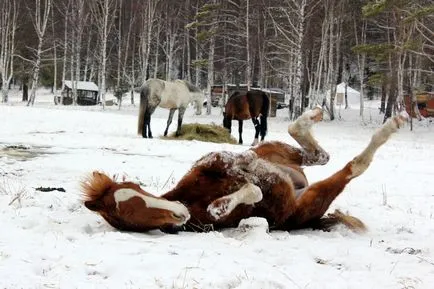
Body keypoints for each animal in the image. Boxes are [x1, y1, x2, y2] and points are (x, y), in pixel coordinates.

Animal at [81, 108, 406, 234]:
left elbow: (223, 158)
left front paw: (244, 164)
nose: (179, 212)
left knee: (314, 150)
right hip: (312, 197)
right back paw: (390, 126)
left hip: (279, 153)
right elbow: (247, 194)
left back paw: (311, 116)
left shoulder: (207, 164)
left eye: (136, 188)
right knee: (355, 165)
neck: (191, 199)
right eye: (134, 214)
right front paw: (236, 190)